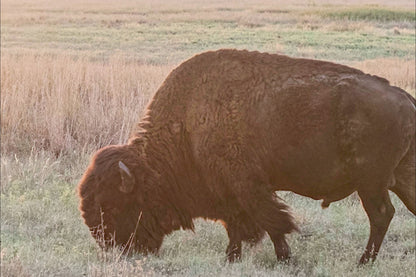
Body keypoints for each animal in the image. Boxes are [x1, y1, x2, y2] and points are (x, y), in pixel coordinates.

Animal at [77, 49, 412, 264]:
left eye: (112, 205)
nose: (114, 247)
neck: (188, 124)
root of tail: (406, 100)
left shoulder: (247, 185)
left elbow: (272, 221)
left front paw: (283, 259)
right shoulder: (228, 192)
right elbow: (236, 224)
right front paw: (232, 258)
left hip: (371, 183)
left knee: (381, 215)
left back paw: (363, 262)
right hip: (403, 178)